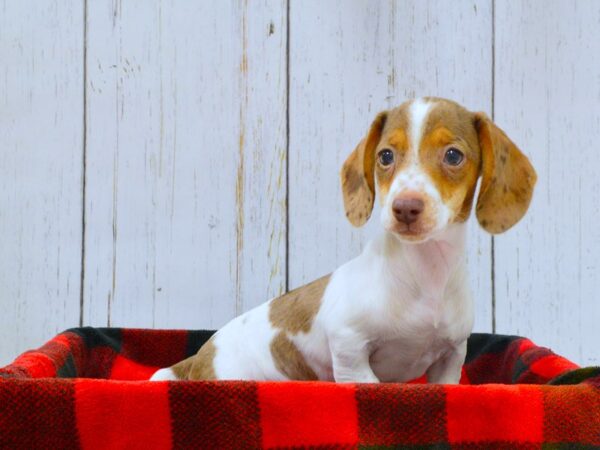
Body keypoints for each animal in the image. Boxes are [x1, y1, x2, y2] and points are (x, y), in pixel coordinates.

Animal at [150, 97, 536, 384]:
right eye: (385, 156)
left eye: (453, 155)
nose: (405, 207)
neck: (422, 275)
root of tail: (200, 355)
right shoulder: (349, 347)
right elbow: (366, 380)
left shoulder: (451, 357)